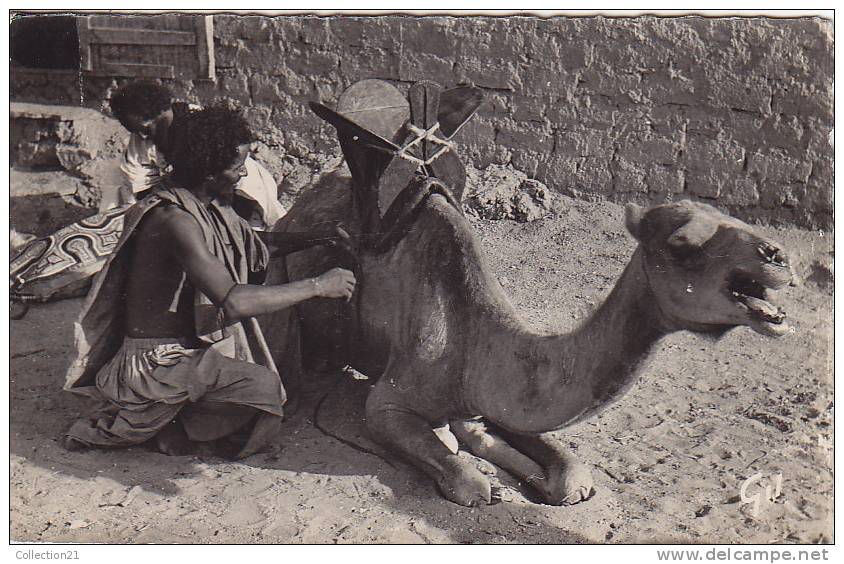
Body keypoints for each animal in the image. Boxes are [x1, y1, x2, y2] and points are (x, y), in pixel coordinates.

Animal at [260, 79, 796, 506]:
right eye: (682, 244)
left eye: (734, 218)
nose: (777, 256)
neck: (473, 343)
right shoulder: (388, 403)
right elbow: (469, 483)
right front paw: (481, 475)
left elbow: (571, 474)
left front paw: (532, 477)